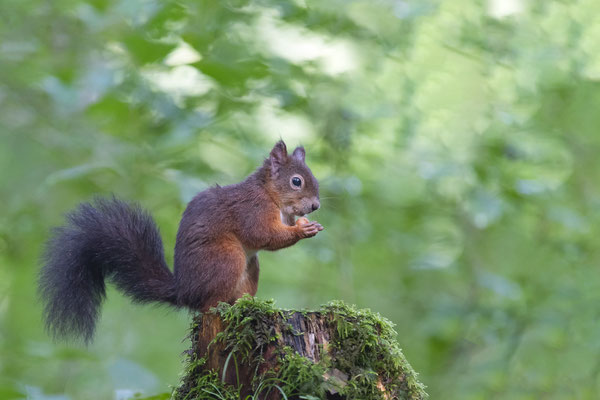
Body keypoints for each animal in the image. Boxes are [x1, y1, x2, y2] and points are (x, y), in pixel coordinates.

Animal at [38, 139, 324, 342]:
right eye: (296, 181)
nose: (315, 206)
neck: (270, 194)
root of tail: (184, 292)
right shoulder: (252, 210)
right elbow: (264, 235)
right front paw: (302, 231)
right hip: (227, 258)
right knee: (208, 307)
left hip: (250, 267)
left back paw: (247, 303)